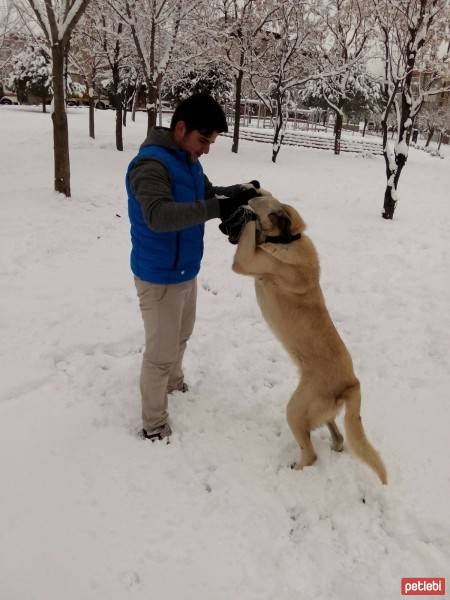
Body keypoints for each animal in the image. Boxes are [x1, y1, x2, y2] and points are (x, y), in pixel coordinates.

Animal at [232, 195, 386, 486]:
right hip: (317, 412)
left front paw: (248, 214)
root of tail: (352, 383)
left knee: (312, 452)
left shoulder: (246, 262)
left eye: (258, 201)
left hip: (295, 409)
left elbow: (247, 237)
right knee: (338, 437)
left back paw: (297, 471)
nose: (249, 196)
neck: (289, 240)